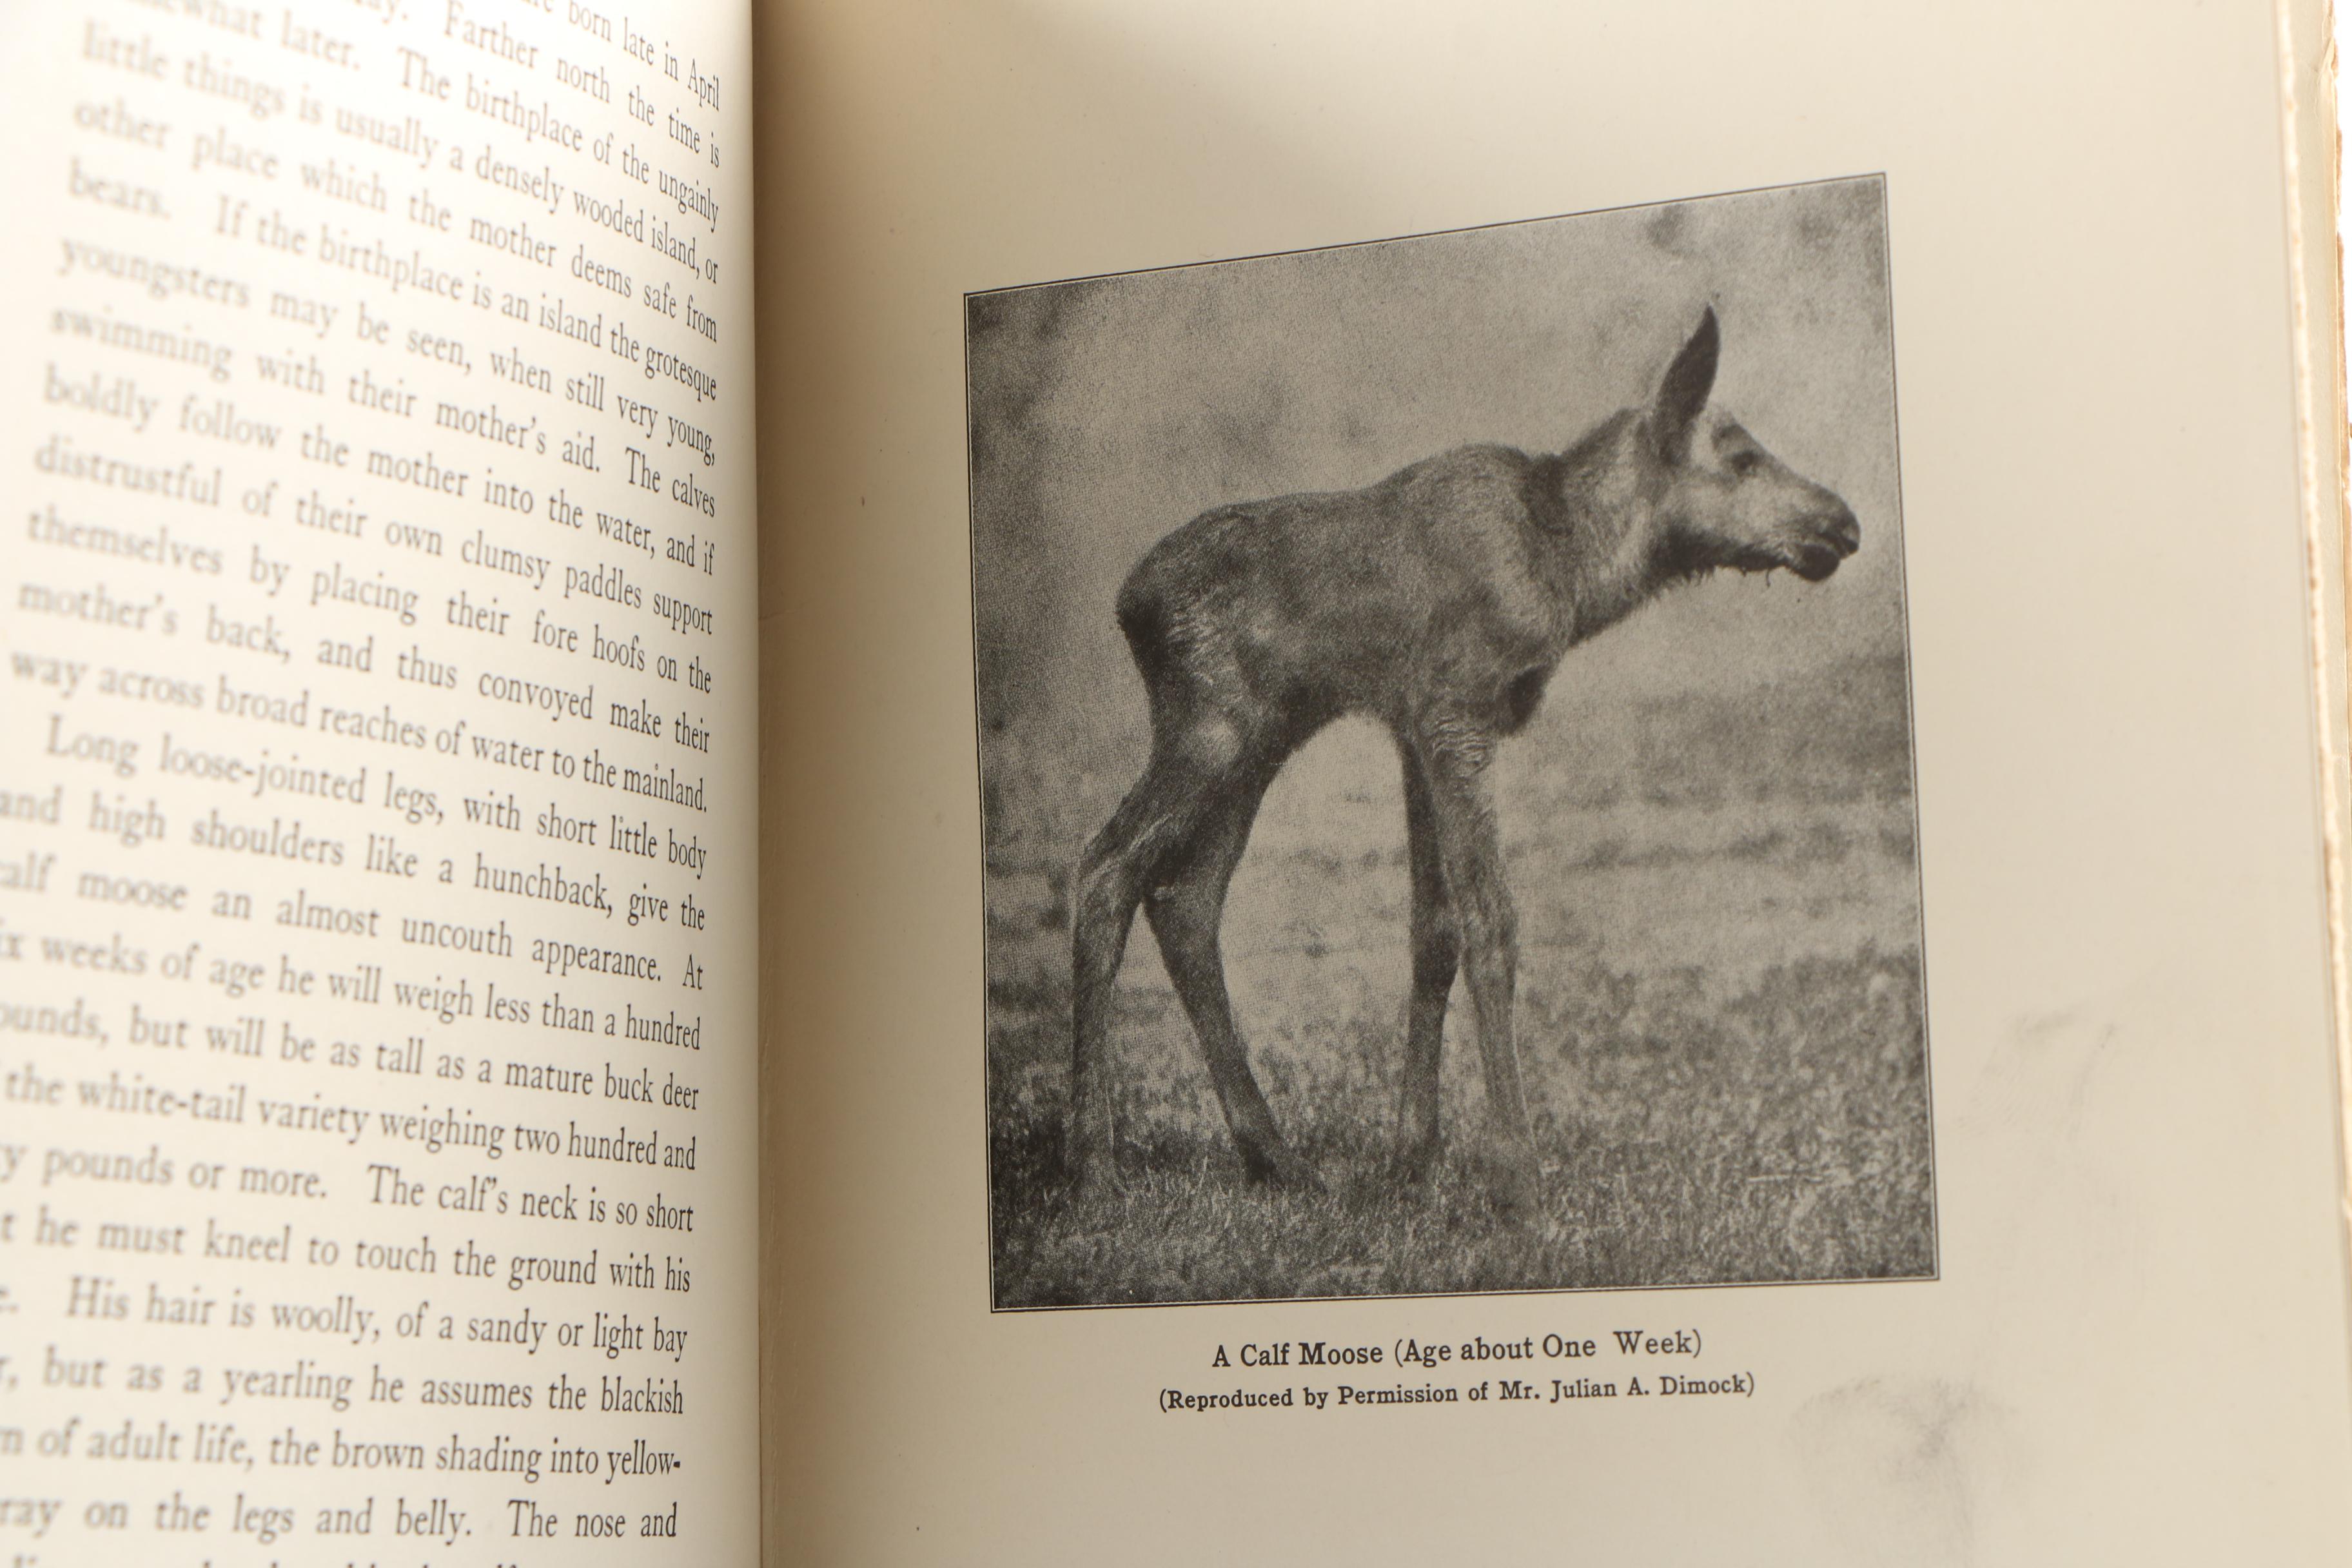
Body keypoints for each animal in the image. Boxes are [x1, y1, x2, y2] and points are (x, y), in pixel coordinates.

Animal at [1067, 307, 1860, 1208]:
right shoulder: (1456, 716)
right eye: (1742, 457)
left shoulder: (1416, 729)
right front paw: (1517, 1173)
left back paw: (1277, 1155)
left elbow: (1434, 929)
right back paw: (1095, 1165)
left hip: (1259, 738)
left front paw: (1414, 1153)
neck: (1575, 574)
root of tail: (1127, 604)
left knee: (1186, 899)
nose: (1842, 524)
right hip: (1213, 728)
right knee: (1106, 869)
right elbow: (1492, 923)